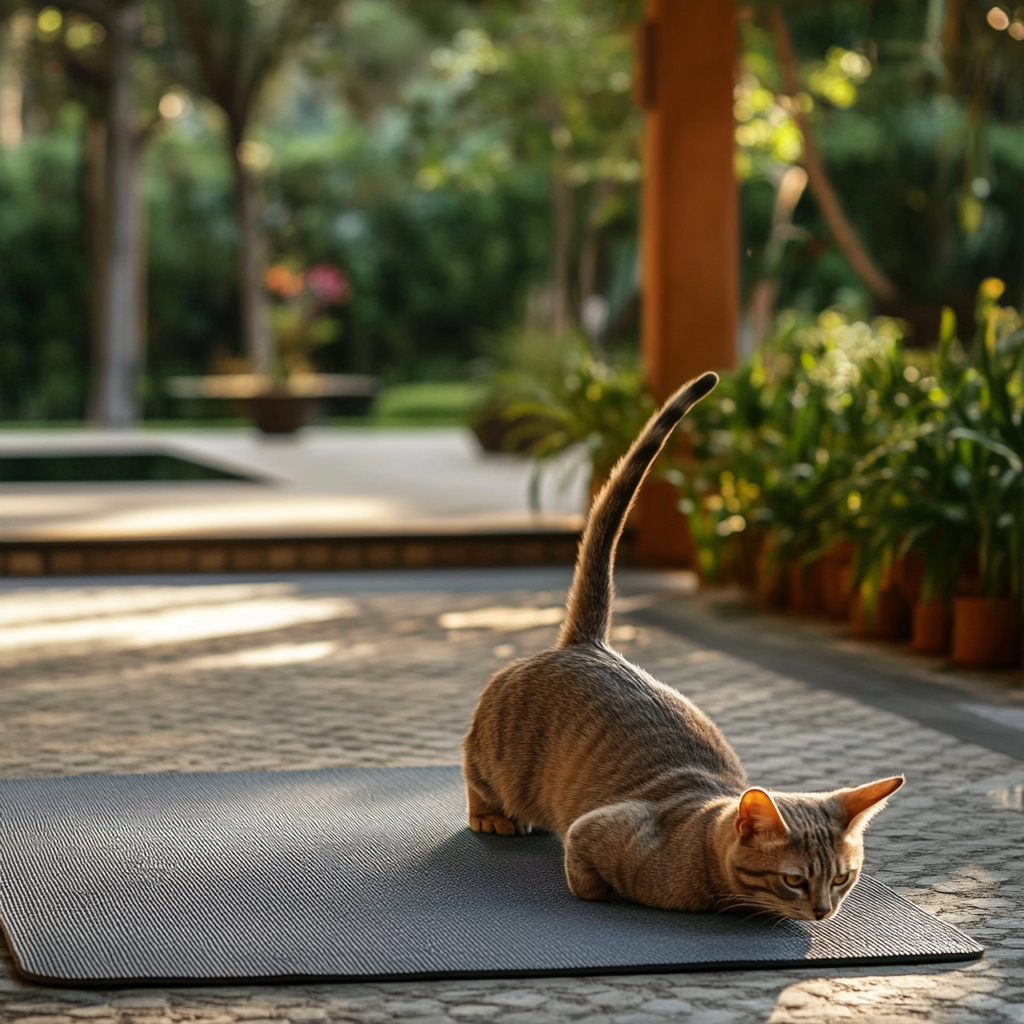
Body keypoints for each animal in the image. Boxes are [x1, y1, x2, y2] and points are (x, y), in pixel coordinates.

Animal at [464, 370, 905, 921]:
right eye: (794, 880)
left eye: (843, 878)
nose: (825, 911)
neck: (698, 837)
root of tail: (587, 643)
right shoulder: (594, 827)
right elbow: (585, 876)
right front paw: (599, 889)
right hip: (498, 757)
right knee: (475, 772)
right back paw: (491, 814)